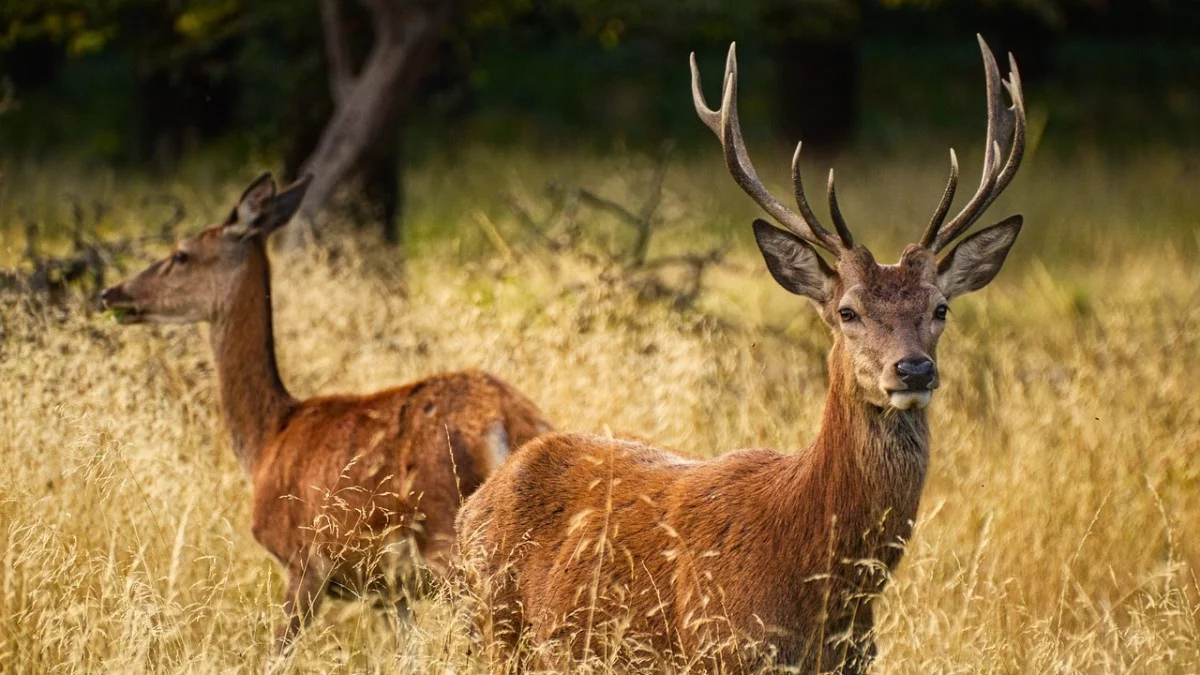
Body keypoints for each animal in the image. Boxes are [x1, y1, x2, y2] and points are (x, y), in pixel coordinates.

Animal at [100, 171, 549, 648]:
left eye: (181, 254)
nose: (110, 293)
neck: (266, 440)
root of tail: (505, 422)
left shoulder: (304, 562)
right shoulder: (387, 591)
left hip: (448, 536)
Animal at [453, 38, 1027, 672]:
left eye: (941, 307)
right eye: (847, 311)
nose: (914, 368)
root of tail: (476, 503)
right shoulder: (718, 647)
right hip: (487, 629)